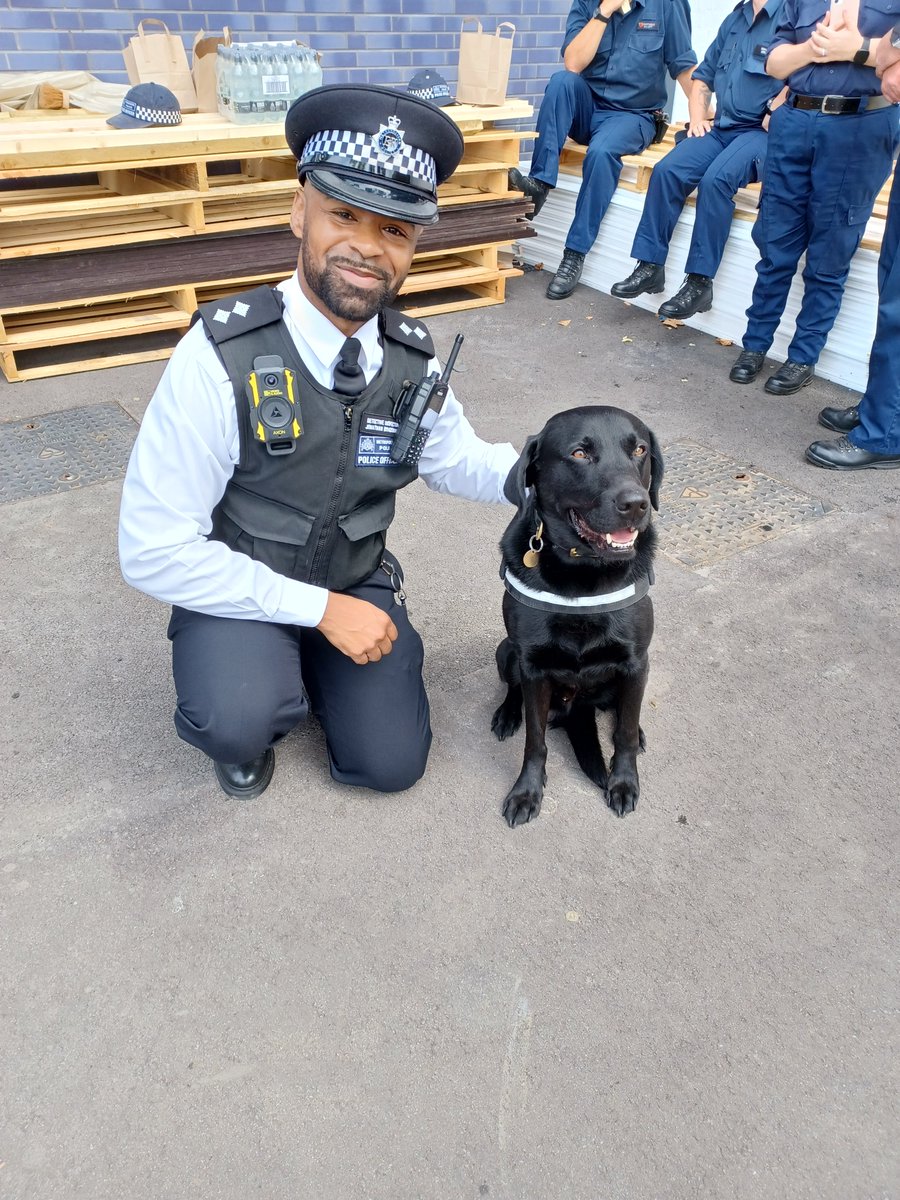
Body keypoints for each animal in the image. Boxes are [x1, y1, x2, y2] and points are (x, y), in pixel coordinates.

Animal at [494, 405, 662, 825]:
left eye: (639, 450)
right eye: (580, 454)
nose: (636, 504)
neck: (584, 569)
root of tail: (575, 707)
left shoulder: (636, 661)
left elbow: (623, 734)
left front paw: (624, 782)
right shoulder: (533, 666)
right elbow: (535, 740)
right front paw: (527, 791)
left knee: (624, 713)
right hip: (506, 652)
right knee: (513, 687)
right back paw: (507, 714)